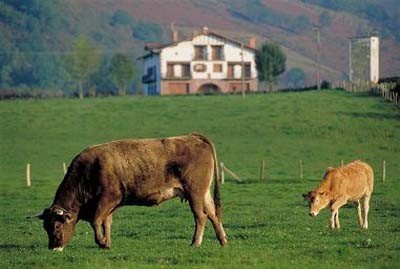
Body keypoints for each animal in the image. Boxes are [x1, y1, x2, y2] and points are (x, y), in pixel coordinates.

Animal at [37, 133, 227, 250]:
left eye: (56, 226)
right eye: (45, 227)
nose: (53, 247)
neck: (89, 170)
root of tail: (192, 136)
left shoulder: (106, 200)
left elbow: (96, 221)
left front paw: (101, 242)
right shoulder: (109, 206)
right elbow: (107, 222)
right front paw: (107, 243)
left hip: (195, 192)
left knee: (200, 216)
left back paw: (195, 243)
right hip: (203, 193)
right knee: (212, 214)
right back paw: (222, 240)